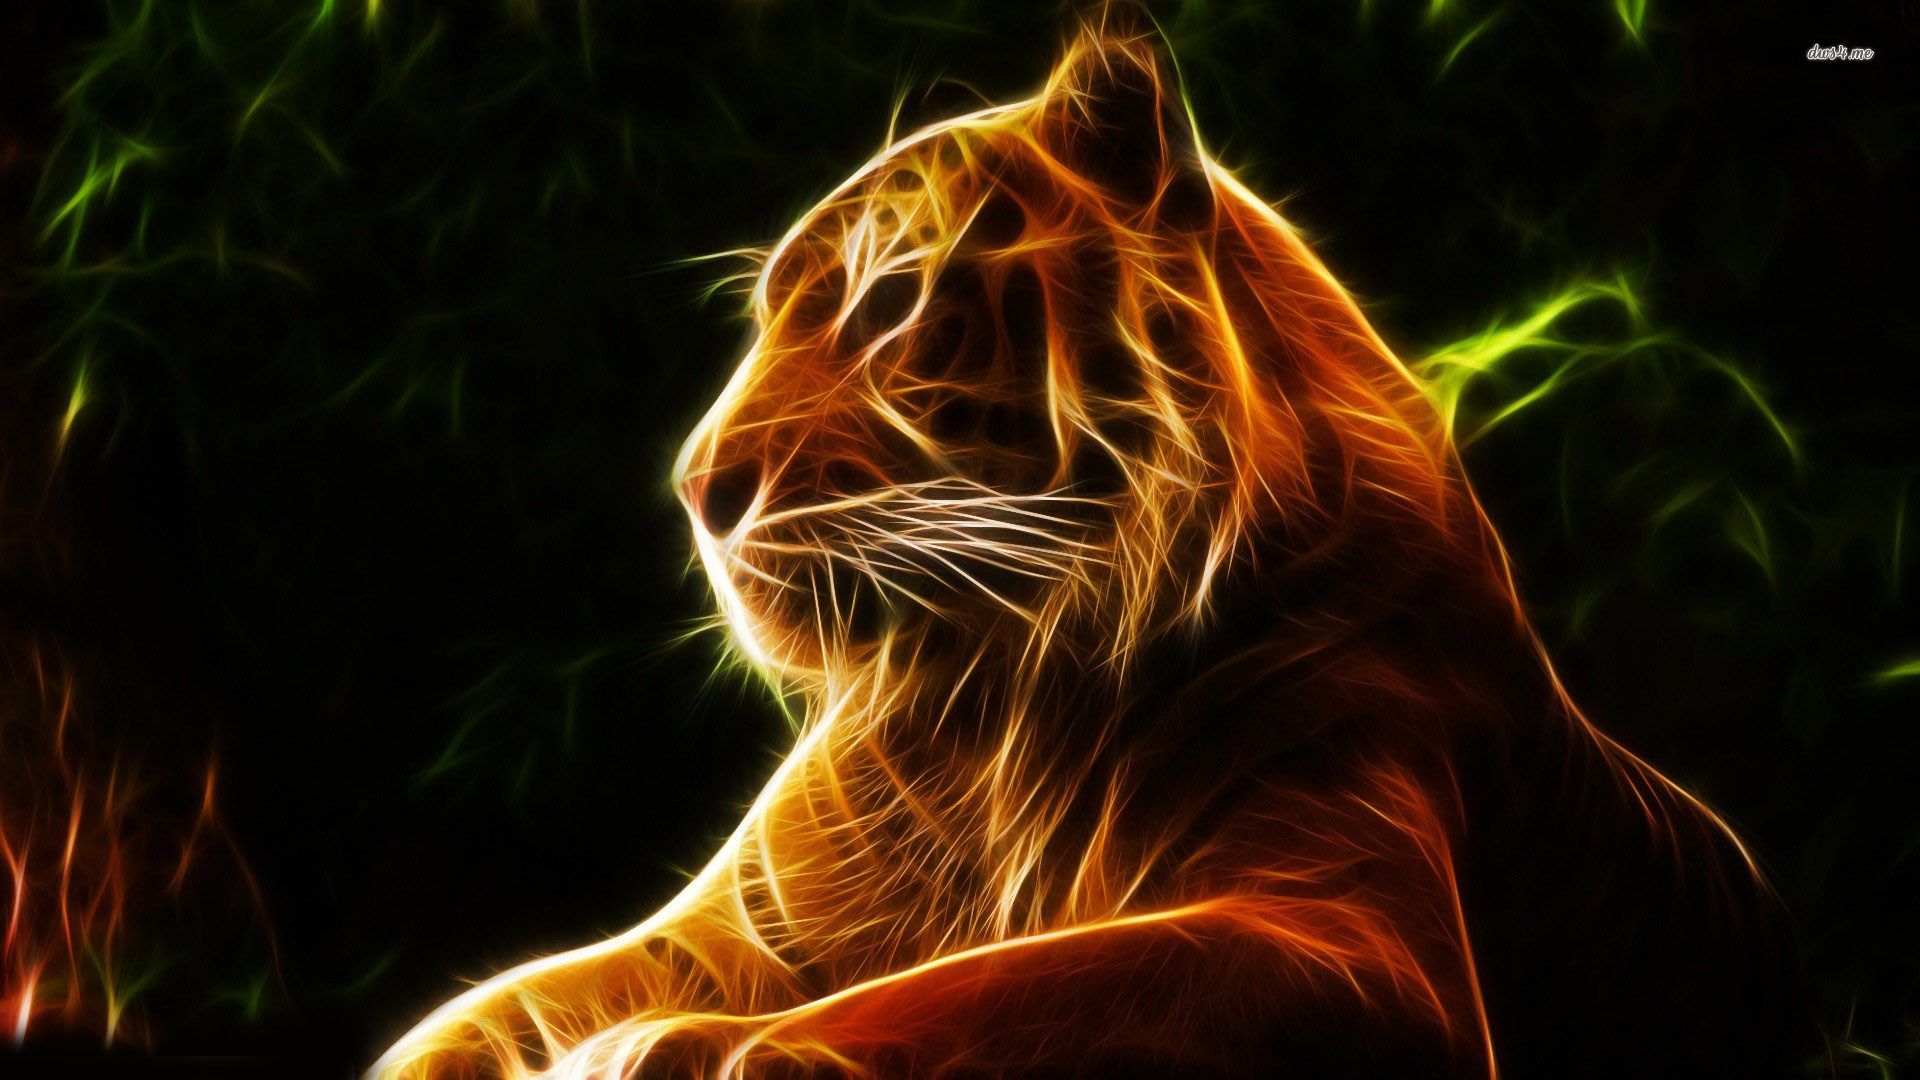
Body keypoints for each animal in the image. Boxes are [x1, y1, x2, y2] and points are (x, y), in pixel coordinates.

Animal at [371, 7, 1814, 1078]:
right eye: (772, 312)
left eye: (891, 302)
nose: (696, 487)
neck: (989, 709)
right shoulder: (736, 930)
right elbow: (479, 1014)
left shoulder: (1350, 928)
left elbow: (998, 993)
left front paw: (683, 1050)